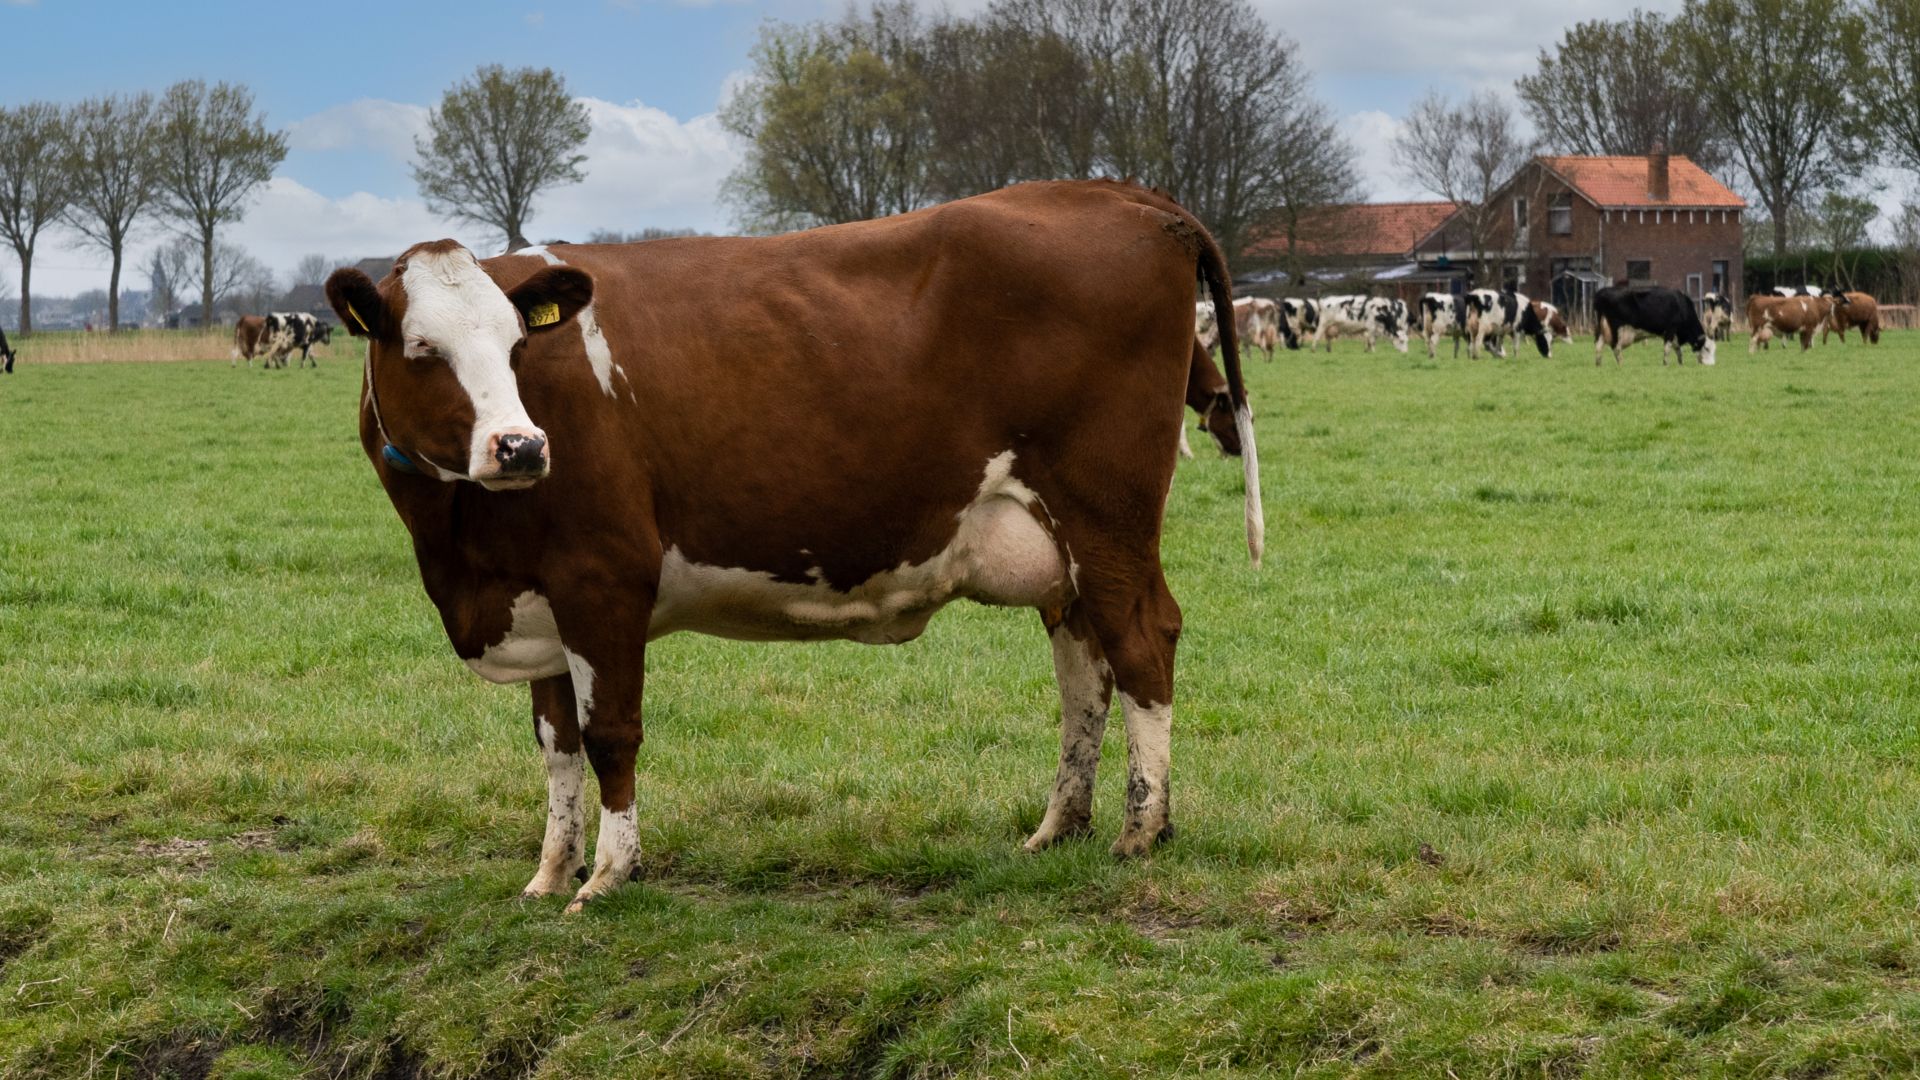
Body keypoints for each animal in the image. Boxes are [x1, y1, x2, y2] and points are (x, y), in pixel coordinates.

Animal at [322, 180, 1265, 912]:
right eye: (422, 350)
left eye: (518, 347)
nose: (520, 447)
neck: (461, 551)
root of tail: (1117, 192)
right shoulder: (535, 597)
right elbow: (556, 742)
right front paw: (551, 873)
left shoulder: (603, 579)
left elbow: (609, 732)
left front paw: (612, 875)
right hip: (1060, 551)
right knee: (1083, 670)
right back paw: (1061, 825)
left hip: (1107, 517)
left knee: (1142, 640)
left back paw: (1143, 827)